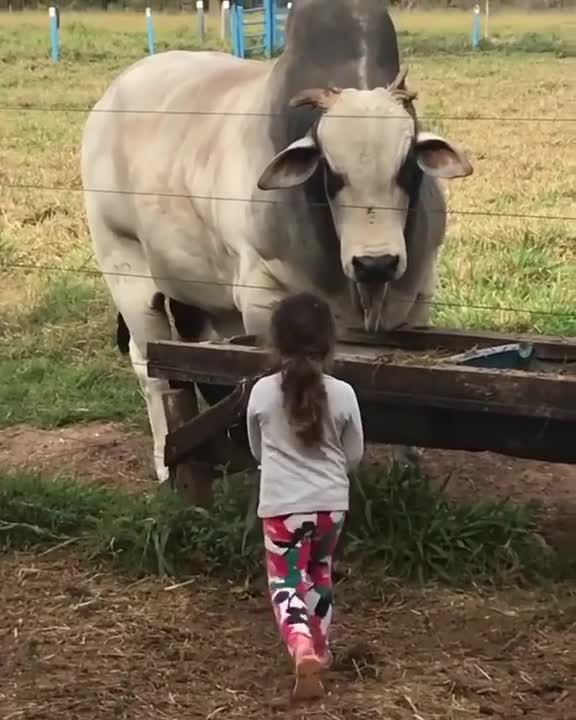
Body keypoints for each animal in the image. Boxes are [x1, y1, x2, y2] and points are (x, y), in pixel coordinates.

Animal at [80, 0, 473, 484]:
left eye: (407, 166)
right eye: (331, 172)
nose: (375, 263)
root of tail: (111, 96)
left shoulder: (417, 295)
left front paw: (408, 464)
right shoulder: (263, 301)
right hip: (127, 271)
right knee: (152, 368)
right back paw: (166, 462)